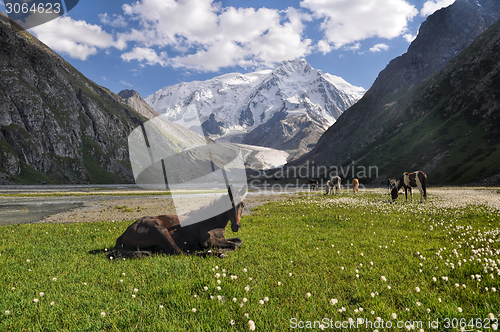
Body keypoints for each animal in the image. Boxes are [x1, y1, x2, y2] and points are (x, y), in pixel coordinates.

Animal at [108, 189, 245, 260]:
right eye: (231, 203)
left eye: (242, 204)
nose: (236, 226)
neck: (213, 222)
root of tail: (123, 235)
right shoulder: (207, 240)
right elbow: (234, 245)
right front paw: (220, 250)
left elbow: (238, 241)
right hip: (161, 231)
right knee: (181, 253)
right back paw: (217, 253)